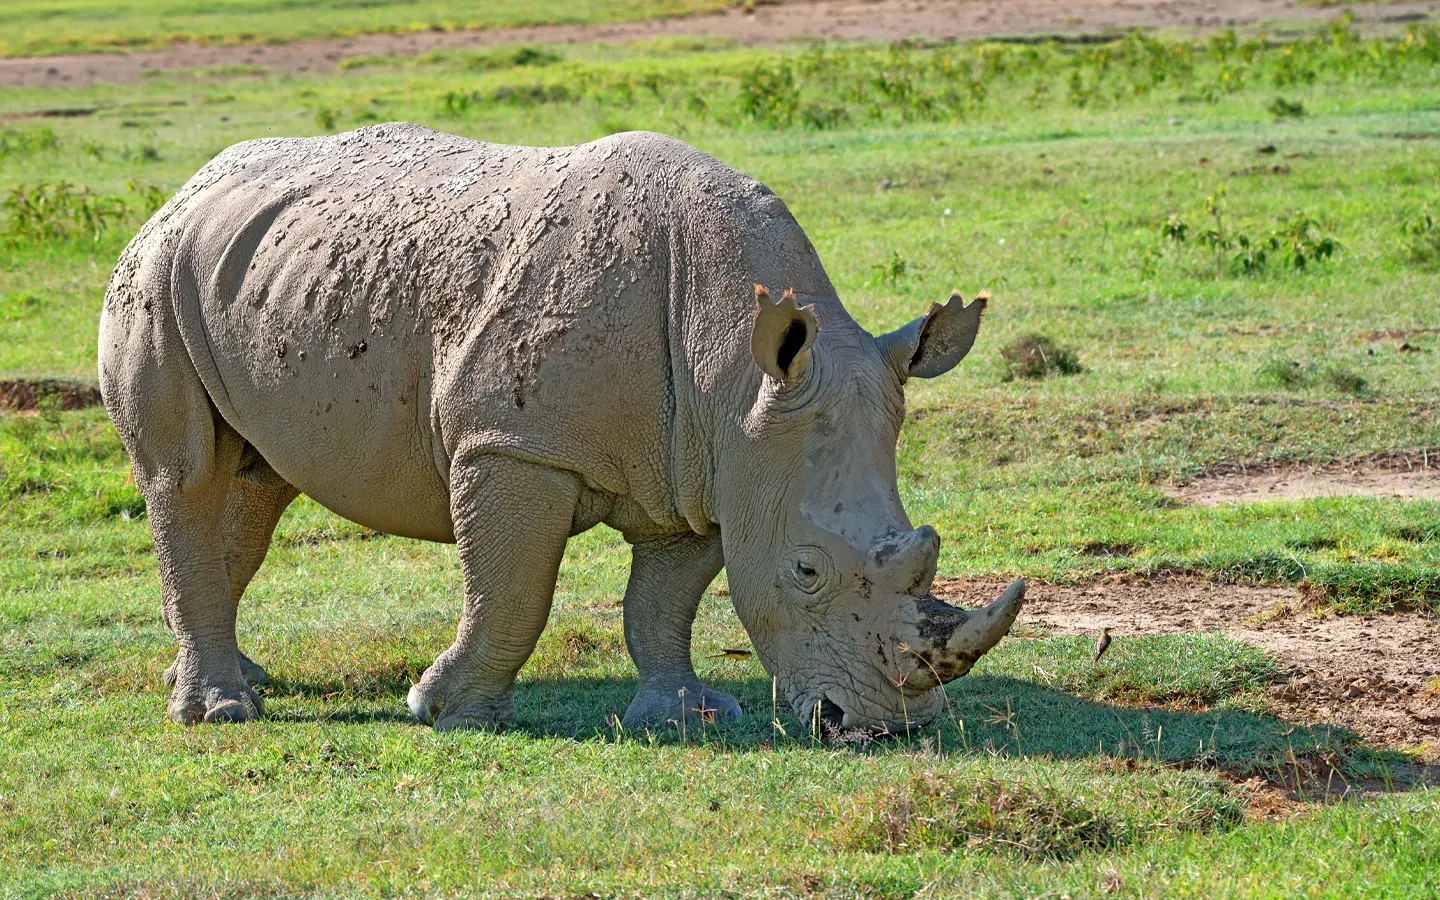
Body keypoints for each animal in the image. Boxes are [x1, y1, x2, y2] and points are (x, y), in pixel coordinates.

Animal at [99, 124, 1023, 733]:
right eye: (806, 571)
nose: (887, 726)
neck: (734, 364)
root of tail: (184, 190)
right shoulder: (513, 446)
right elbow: (513, 590)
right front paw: (447, 711)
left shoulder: (706, 464)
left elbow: (663, 601)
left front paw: (684, 716)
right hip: (152, 274)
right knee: (185, 476)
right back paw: (220, 713)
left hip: (249, 272)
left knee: (257, 484)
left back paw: (232, 677)